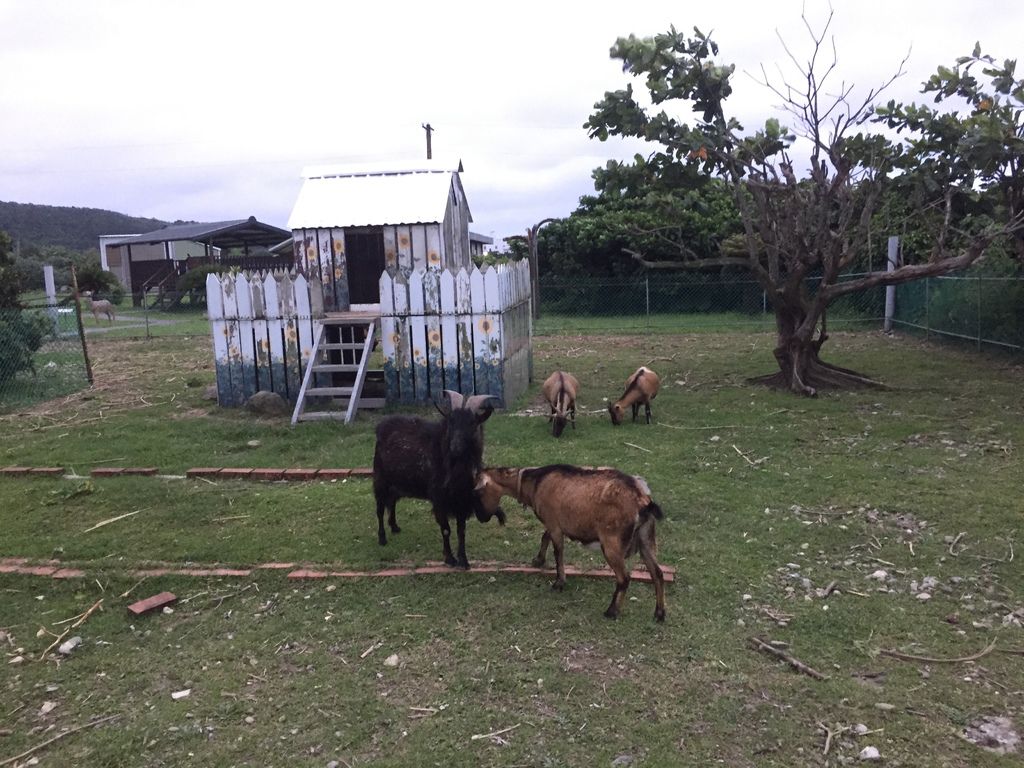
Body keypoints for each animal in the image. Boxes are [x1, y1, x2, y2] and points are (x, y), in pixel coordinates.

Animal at [376, 393, 503, 569]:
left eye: (472, 423)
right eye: (451, 421)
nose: (455, 447)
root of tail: (382, 425)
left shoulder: (462, 500)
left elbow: (461, 531)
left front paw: (464, 561)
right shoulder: (440, 499)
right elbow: (446, 530)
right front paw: (449, 559)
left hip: (396, 482)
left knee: (392, 502)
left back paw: (395, 527)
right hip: (380, 479)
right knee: (380, 509)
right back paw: (382, 538)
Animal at [471, 466, 663, 622]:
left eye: (479, 493)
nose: (481, 518)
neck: (535, 483)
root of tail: (643, 502)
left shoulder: (554, 524)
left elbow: (558, 552)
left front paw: (559, 582)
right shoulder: (554, 523)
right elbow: (545, 537)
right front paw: (538, 560)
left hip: (612, 543)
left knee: (624, 578)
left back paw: (612, 611)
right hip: (646, 538)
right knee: (657, 573)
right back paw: (659, 614)